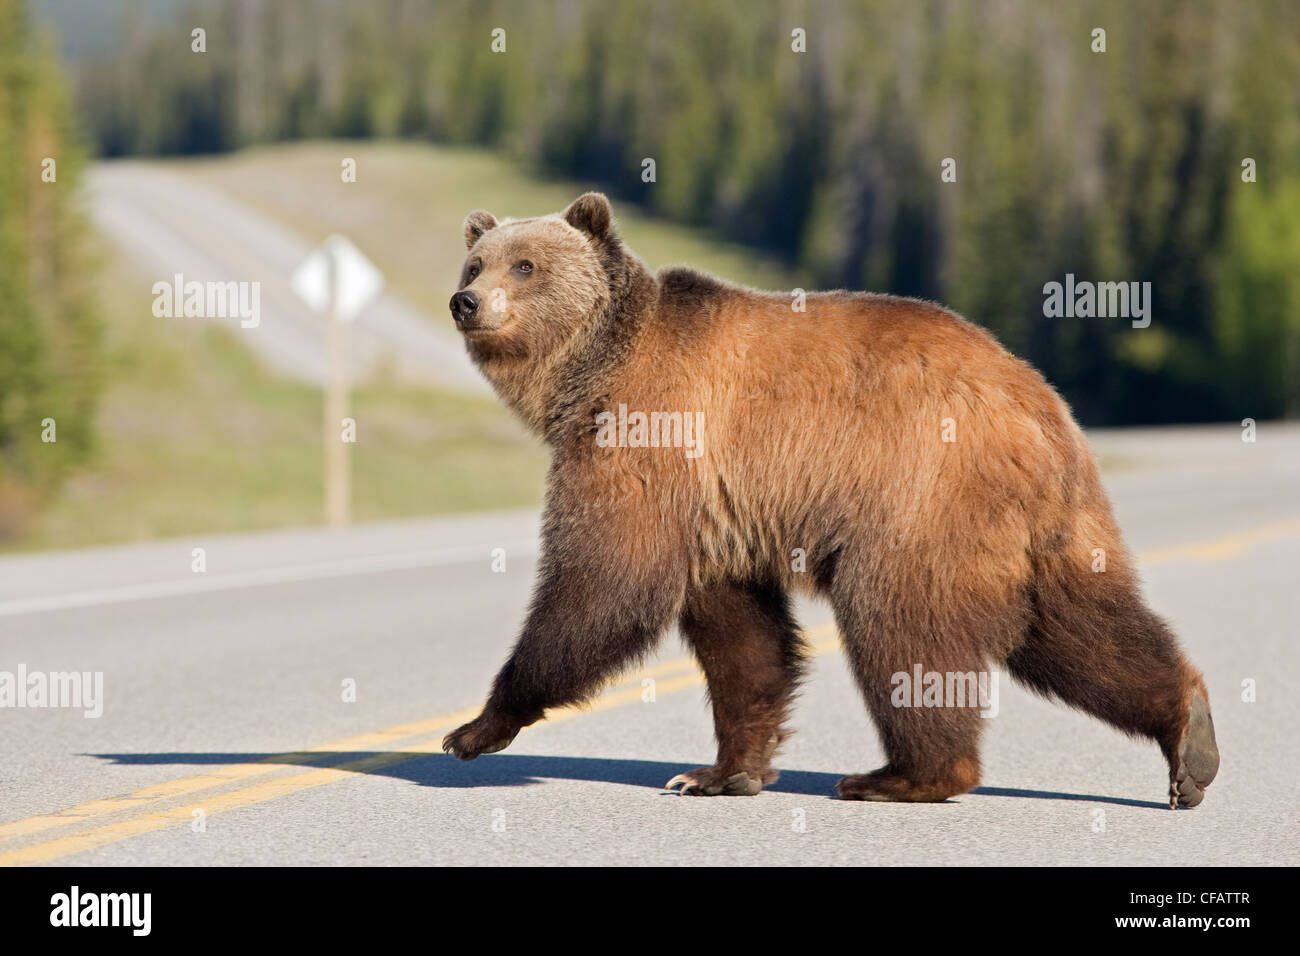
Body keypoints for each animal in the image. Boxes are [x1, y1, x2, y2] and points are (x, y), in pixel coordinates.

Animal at [444, 192, 1216, 806]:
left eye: (524, 265)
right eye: (475, 263)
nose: (466, 301)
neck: (591, 372)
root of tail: (1037, 403)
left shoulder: (651, 438)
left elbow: (607, 579)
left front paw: (475, 727)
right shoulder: (719, 508)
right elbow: (742, 636)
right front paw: (719, 772)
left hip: (922, 493)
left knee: (900, 621)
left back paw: (901, 776)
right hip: (1046, 527)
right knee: (1081, 628)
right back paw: (1191, 736)